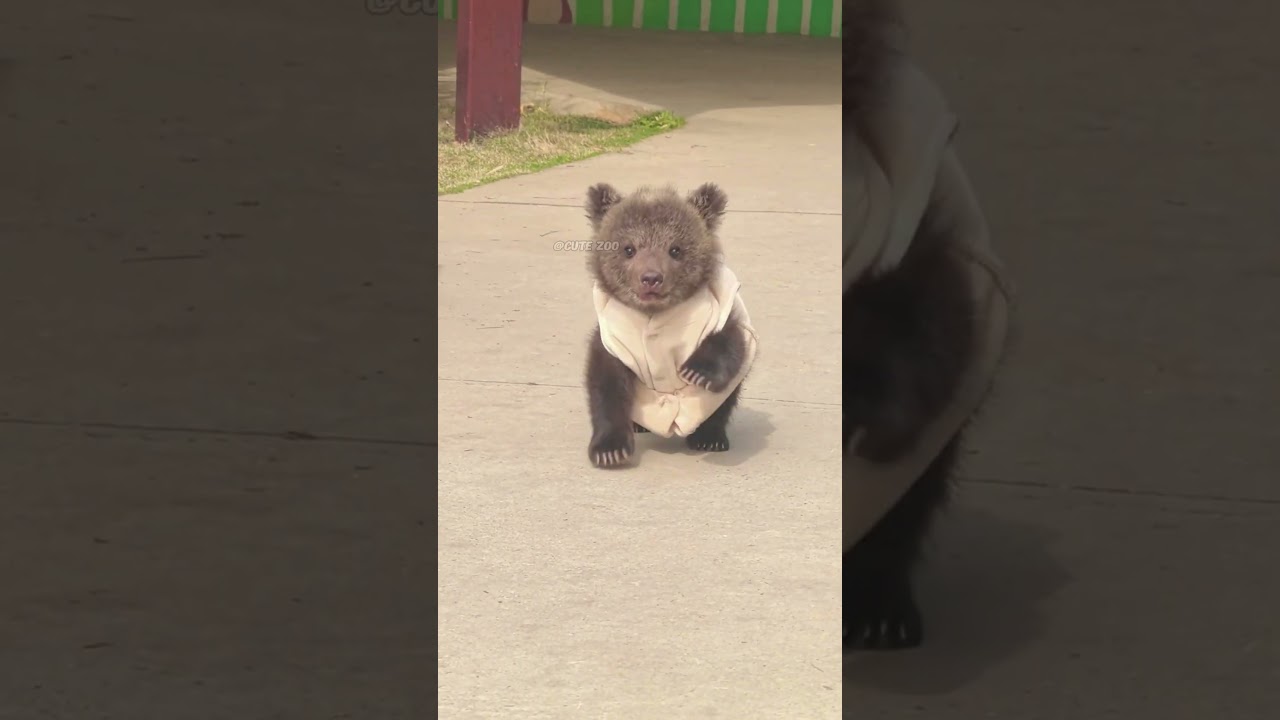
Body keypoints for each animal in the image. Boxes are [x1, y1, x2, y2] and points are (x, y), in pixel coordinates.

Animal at [582, 182, 760, 468]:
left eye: (675, 249)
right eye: (629, 248)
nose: (651, 278)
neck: (655, 315)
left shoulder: (716, 314)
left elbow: (731, 341)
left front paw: (697, 372)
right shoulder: (616, 340)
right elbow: (606, 384)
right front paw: (609, 450)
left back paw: (710, 437)